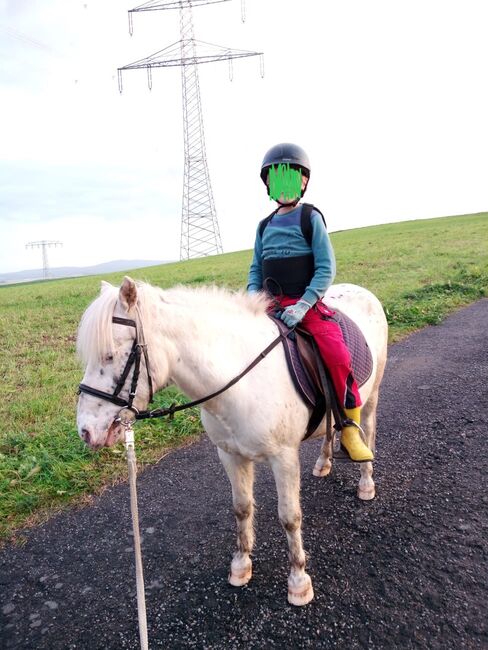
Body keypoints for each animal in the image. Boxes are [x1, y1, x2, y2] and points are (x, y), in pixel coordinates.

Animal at [77, 274, 388, 604]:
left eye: (111, 354)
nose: (85, 431)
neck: (242, 383)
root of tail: (361, 290)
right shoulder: (230, 454)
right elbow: (242, 508)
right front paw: (241, 565)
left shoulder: (284, 458)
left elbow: (290, 517)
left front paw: (298, 580)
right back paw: (323, 462)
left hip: (371, 397)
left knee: (367, 429)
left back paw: (366, 481)